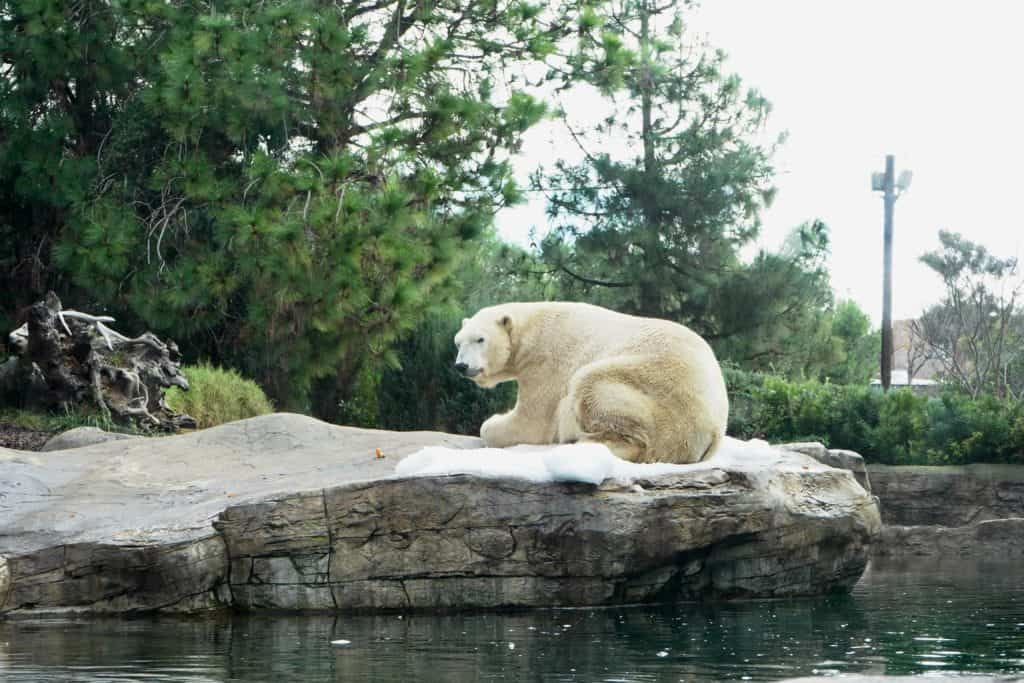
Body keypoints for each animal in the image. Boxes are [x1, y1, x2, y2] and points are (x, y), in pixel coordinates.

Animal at [453, 301, 729, 464]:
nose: (461, 366)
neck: (532, 327)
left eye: (480, 339)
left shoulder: (547, 362)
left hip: (655, 386)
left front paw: (492, 422)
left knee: (590, 385)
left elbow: (531, 423)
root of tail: (715, 430)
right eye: (458, 342)